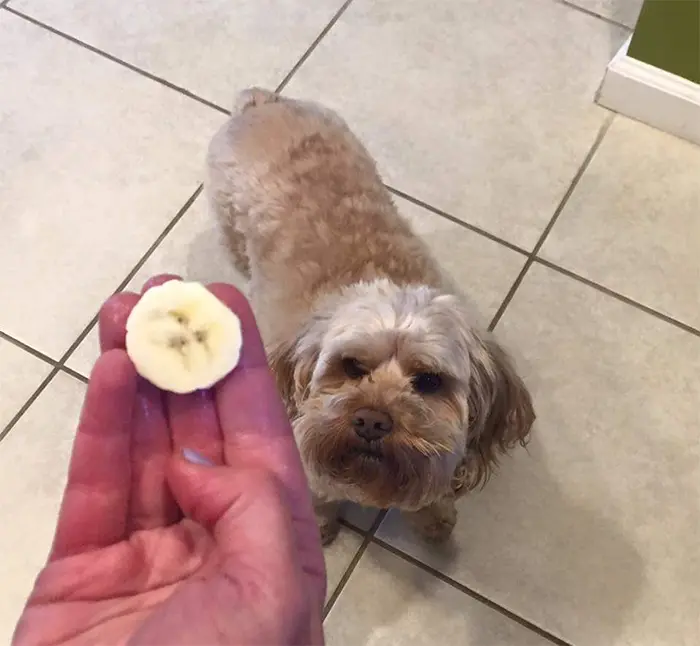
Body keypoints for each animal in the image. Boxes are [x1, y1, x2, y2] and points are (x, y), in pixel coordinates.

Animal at [205, 87, 532, 548]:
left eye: (428, 381)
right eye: (351, 366)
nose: (372, 421)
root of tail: (266, 102)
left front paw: (434, 515)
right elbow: (320, 493)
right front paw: (321, 524)